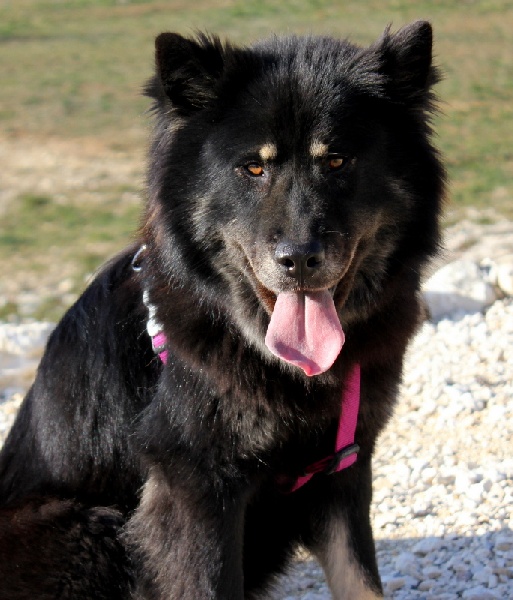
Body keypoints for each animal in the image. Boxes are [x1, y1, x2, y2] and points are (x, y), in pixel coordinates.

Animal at [0, 21, 444, 599]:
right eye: (253, 167)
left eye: (337, 161)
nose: (299, 259)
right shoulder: (196, 488)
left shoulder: (345, 467)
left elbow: (361, 581)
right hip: (86, 528)